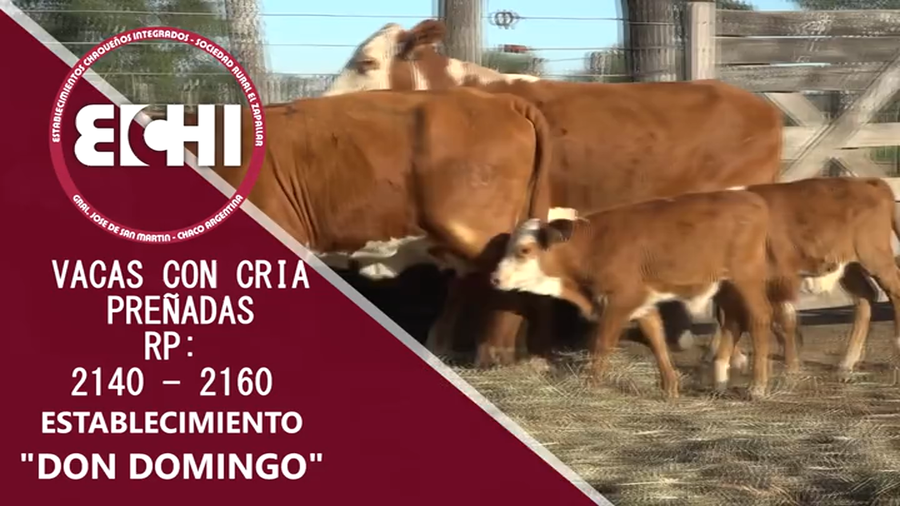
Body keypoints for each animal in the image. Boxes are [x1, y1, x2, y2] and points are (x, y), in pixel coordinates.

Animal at [488, 189, 776, 399]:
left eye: (525, 250)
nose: (495, 278)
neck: (593, 246)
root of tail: (751, 198)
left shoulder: (618, 303)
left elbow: (601, 344)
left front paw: (590, 386)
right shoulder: (642, 303)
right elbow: (656, 341)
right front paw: (670, 388)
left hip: (746, 279)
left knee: (760, 318)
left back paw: (757, 386)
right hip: (727, 288)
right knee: (733, 323)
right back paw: (720, 381)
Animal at [701, 178, 900, 387]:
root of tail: (869, 182)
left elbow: (779, 318)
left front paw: (790, 368)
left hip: (875, 256)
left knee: (895, 291)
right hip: (849, 265)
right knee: (865, 296)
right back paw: (847, 363)